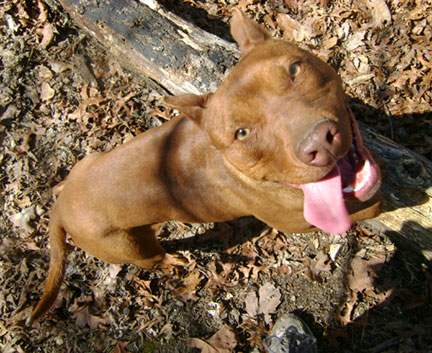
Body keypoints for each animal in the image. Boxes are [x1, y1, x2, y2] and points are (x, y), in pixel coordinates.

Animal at [28, 10, 380, 324]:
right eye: (241, 133)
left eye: (294, 69)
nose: (319, 141)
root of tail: (60, 208)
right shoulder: (301, 221)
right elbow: (366, 208)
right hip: (129, 246)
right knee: (152, 257)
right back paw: (171, 260)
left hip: (87, 164)